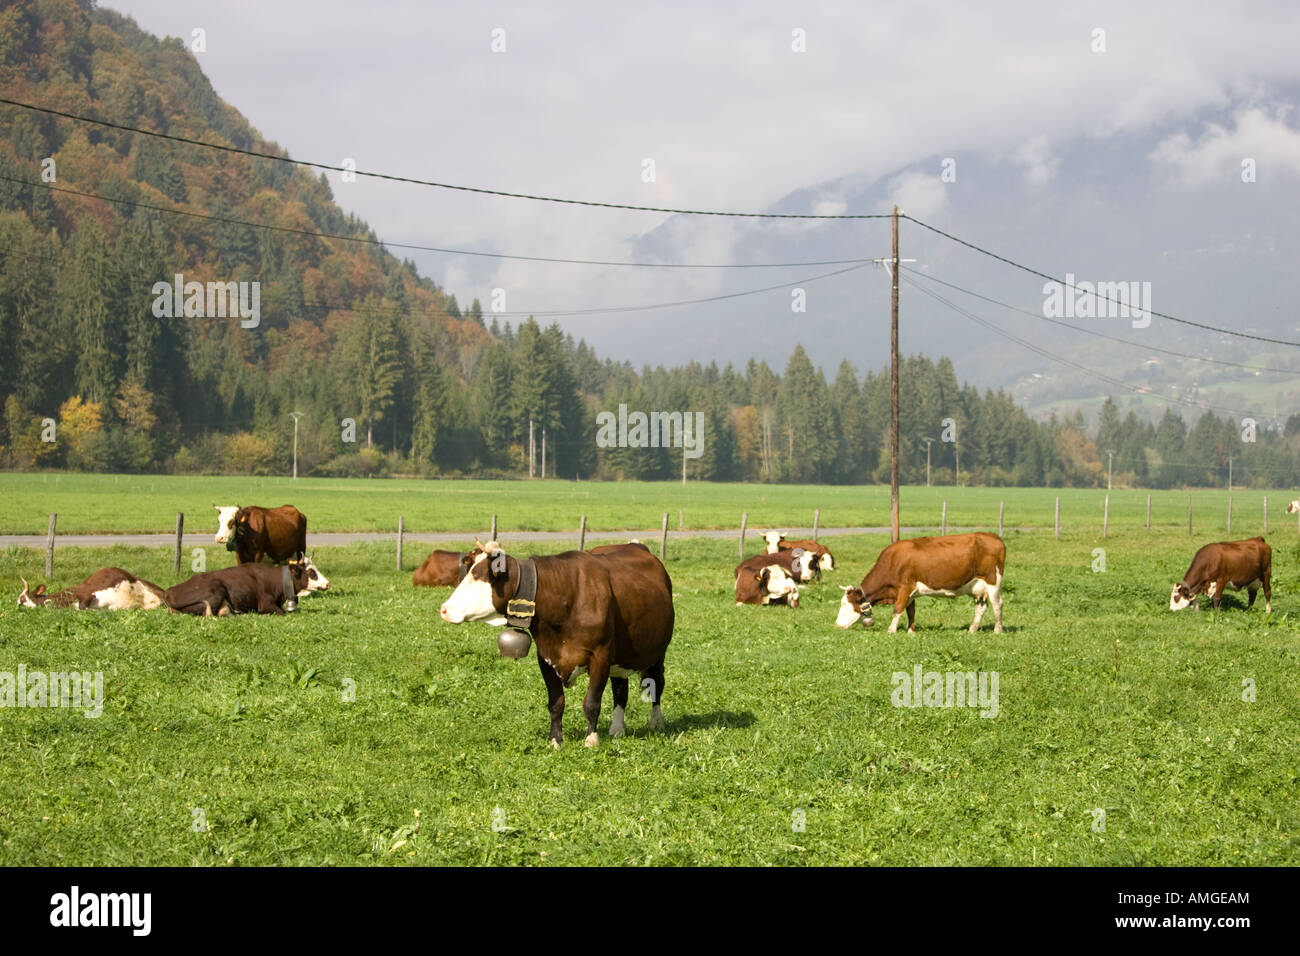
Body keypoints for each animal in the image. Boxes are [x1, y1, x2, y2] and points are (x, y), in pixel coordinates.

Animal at [165, 556, 327, 616]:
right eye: (311, 572)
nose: (327, 583)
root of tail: (170, 592)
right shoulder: (266, 605)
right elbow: (282, 612)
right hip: (216, 591)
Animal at [441, 538, 676, 749]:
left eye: (477, 577)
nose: (444, 610)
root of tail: (635, 545)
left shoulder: (600, 655)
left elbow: (591, 703)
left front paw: (591, 740)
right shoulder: (546, 657)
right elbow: (556, 703)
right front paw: (555, 741)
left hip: (658, 653)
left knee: (657, 684)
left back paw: (656, 723)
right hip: (621, 657)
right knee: (620, 689)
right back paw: (617, 729)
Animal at [832, 530, 1003, 634]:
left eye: (846, 604)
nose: (837, 625)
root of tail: (993, 536)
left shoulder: (905, 587)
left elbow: (897, 609)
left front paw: (891, 631)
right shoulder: (910, 592)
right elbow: (911, 611)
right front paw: (910, 631)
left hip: (993, 582)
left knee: (997, 604)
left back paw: (997, 630)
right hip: (976, 587)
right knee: (981, 607)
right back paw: (972, 630)